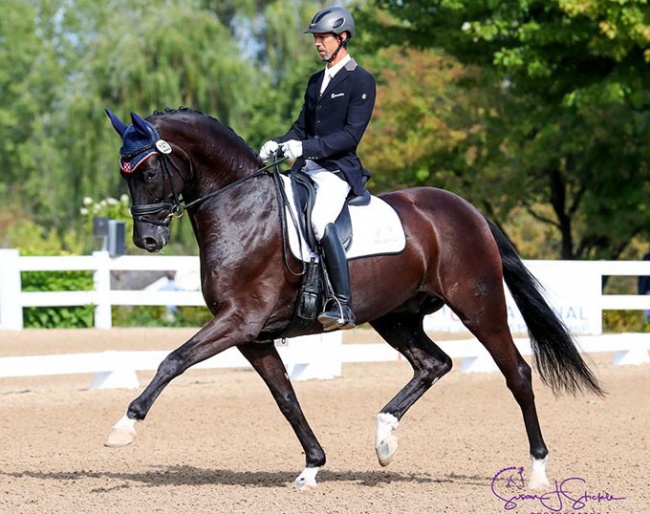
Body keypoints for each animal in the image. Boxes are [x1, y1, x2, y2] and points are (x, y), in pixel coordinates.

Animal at [104, 107, 600, 488]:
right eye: (125, 176)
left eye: (149, 171)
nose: (148, 240)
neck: (243, 210)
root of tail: (469, 210)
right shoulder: (252, 336)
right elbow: (286, 397)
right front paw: (312, 467)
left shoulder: (239, 320)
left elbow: (173, 360)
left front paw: (123, 428)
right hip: (396, 316)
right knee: (433, 364)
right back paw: (384, 439)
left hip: (480, 306)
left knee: (517, 373)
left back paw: (537, 472)